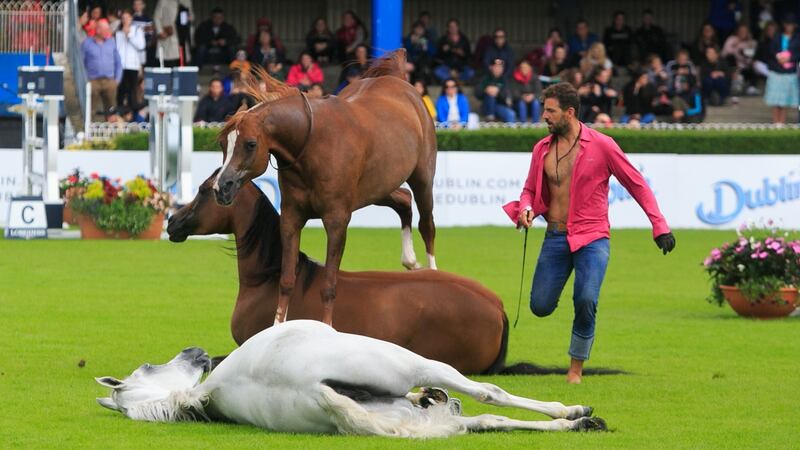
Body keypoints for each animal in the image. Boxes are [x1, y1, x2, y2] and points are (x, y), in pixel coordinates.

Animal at [212, 49, 437, 327]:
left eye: (251, 144)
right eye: (223, 143)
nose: (222, 187)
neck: (311, 144)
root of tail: (398, 80)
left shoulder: (336, 220)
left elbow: (329, 284)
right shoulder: (291, 217)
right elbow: (287, 280)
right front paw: (277, 327)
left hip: (422, 178)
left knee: (426, 223)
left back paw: (433, 272)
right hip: (377, 188)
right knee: (404, 200)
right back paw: (410, 260)